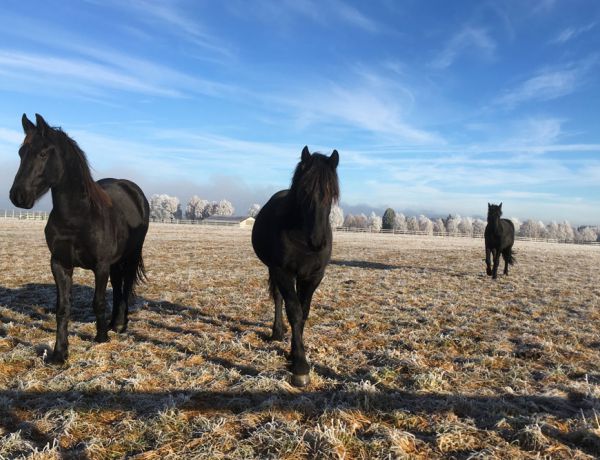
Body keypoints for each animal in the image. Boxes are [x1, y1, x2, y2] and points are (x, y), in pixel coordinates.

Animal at [9, 114, 149, 362]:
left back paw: (120, 325)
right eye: (21, 152)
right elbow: (63, 308)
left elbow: (98, 302)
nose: (18, 196)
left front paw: (101, 338)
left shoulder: (101, 266)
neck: (77, 217)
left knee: (125, 286)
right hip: (115, 262)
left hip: (131, 256)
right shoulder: (60, 264)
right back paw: (114, 323)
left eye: (43, 153)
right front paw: (59, 353)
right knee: (118, 285)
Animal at [251, 146, 340, 386]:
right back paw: (277, 332)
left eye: (333, 194)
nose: (317, 242)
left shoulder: (313, 276)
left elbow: (304, 312)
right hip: (275, 271)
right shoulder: (282, 271)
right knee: (278, 298)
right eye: (304, 191)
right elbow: (294, 311)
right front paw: (299, 365)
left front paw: (294, 352)